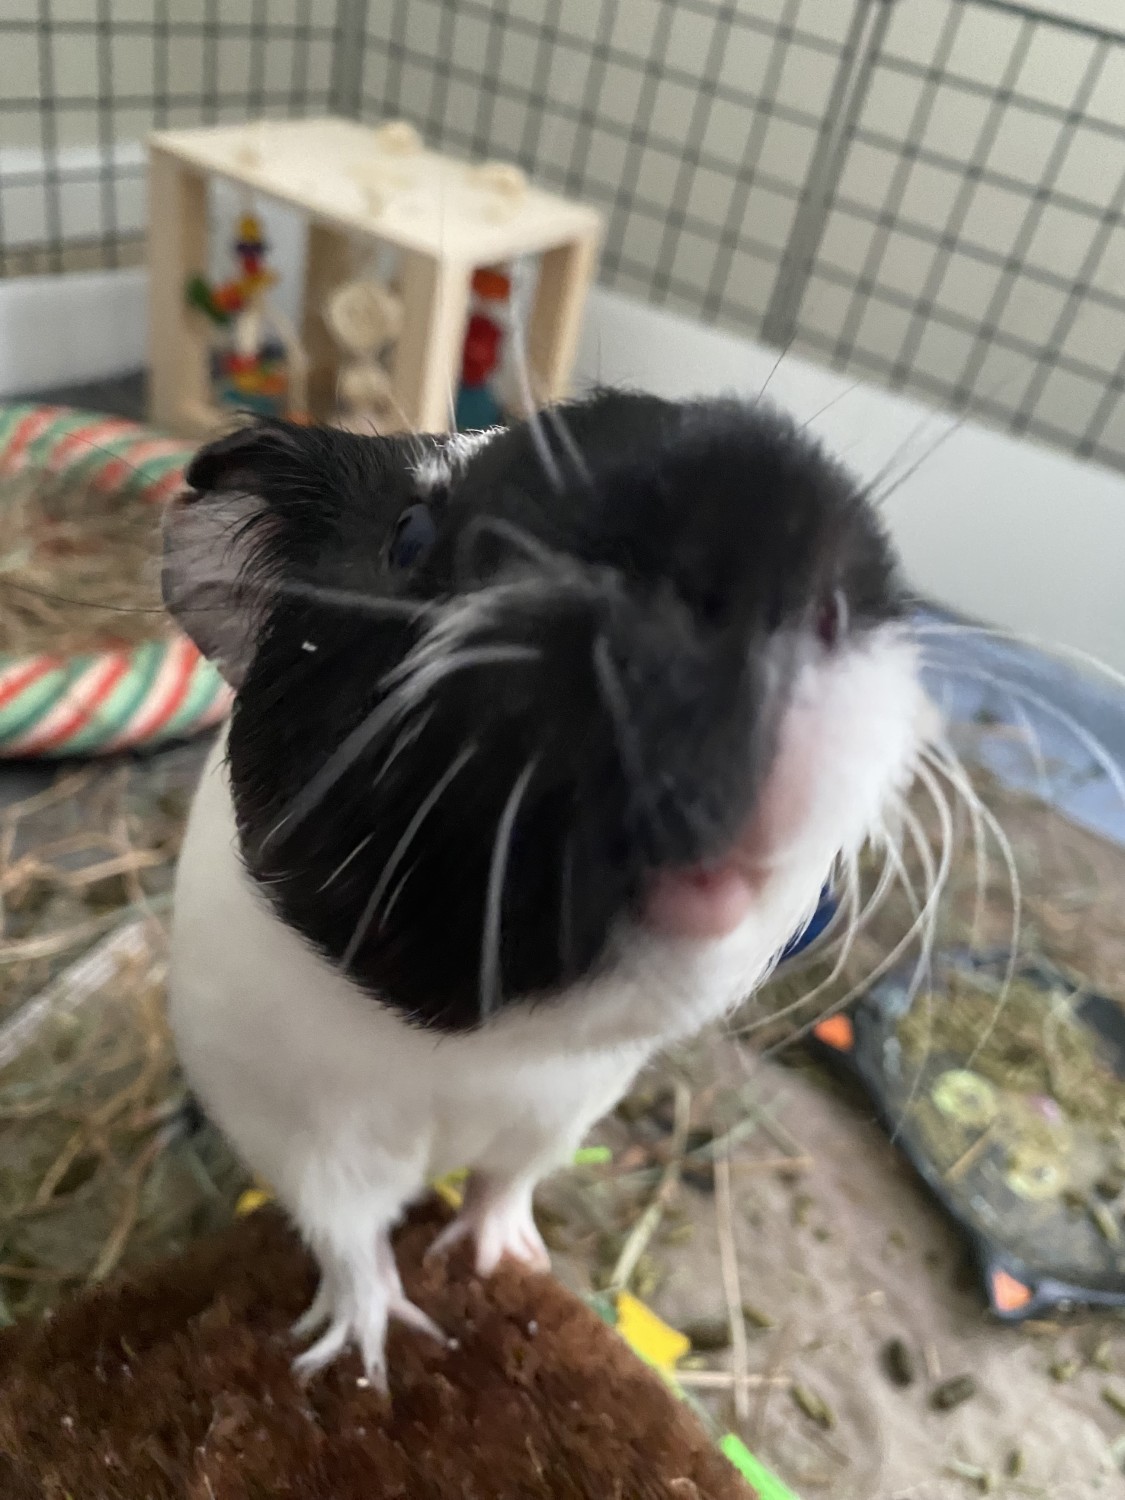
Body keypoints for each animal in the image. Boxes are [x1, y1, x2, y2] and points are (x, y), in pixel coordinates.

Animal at [163, 390, 932, 1386]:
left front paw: (504, 1264)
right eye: (409, 533)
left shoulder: (556, 1114)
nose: (759, 509)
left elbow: (503, 1187)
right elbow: (351, 1244)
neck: (476, 1052)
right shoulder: (311, 1138)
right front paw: (367, 1358)